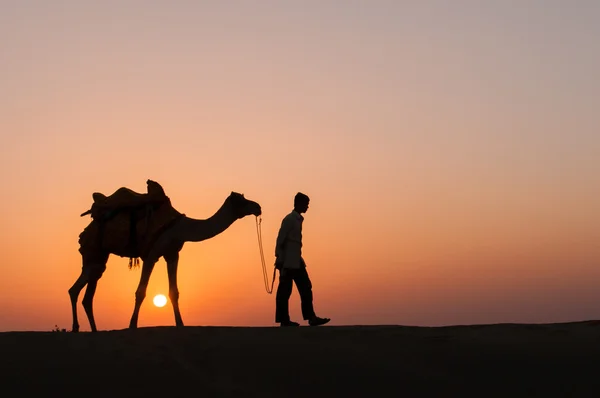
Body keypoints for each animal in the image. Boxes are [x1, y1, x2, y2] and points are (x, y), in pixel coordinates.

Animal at [69, 181, 262, 332]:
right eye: (242, 200)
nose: (258, 207)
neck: (179, 227)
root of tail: (87, 230)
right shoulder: (151, 254)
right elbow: (141, 292)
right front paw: (132, 325)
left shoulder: (172, 254)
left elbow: (174, 292)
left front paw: (180, 324)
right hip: (93, 251)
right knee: (78, 289)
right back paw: (78, 328)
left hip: (99, 256)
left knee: (85, 291)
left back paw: (91, 329)